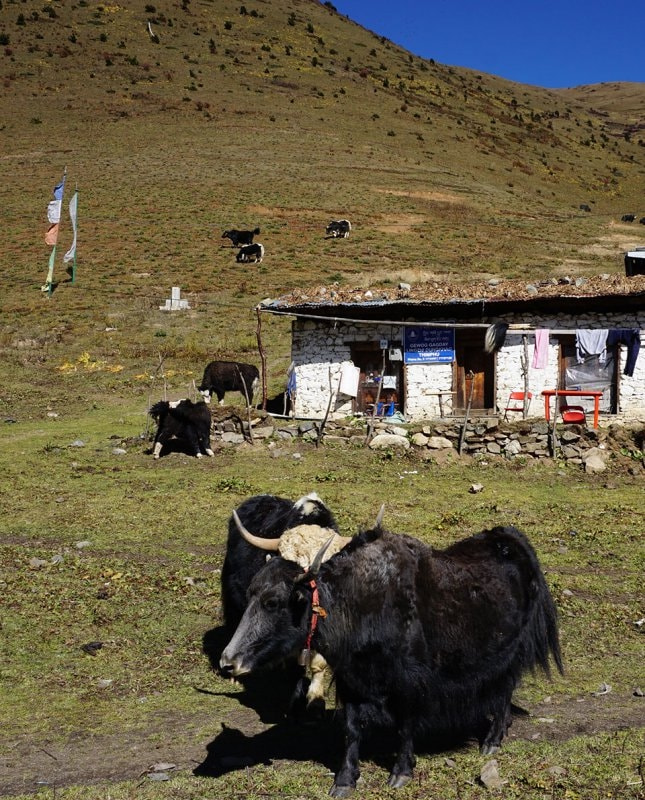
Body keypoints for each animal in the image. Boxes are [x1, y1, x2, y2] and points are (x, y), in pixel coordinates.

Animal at [219, 520, 560, 792]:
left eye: (273, 602)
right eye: (250, 595)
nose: (227, 662)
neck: (359, 604)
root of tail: (512, 538)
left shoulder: (409, 681)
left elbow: (405, 725)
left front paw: (401, 773)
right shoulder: (351, 680)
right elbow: (352, 729)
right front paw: (345, 780)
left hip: (513, 648)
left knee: (506, 687)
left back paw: (492, 740)